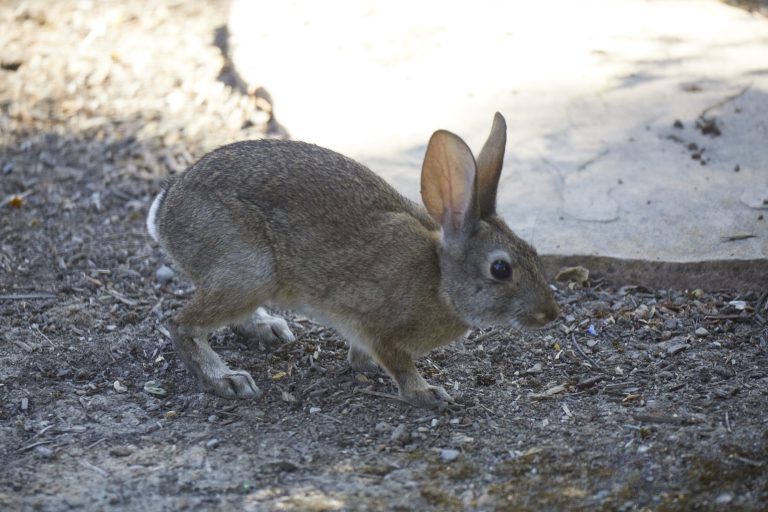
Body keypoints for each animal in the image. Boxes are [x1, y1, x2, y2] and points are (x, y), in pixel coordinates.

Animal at [147, 113, 559, 409]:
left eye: (533, 252)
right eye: (501, 269)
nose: (550, 313)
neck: (440, 280)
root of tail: (165, 211)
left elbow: (362, 358)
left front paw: (370, 370)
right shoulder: (378, 326)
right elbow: (399, 365)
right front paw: (427, 394)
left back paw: (269, 329)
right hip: (249, 270)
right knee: (181, 324)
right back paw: (227, 380)